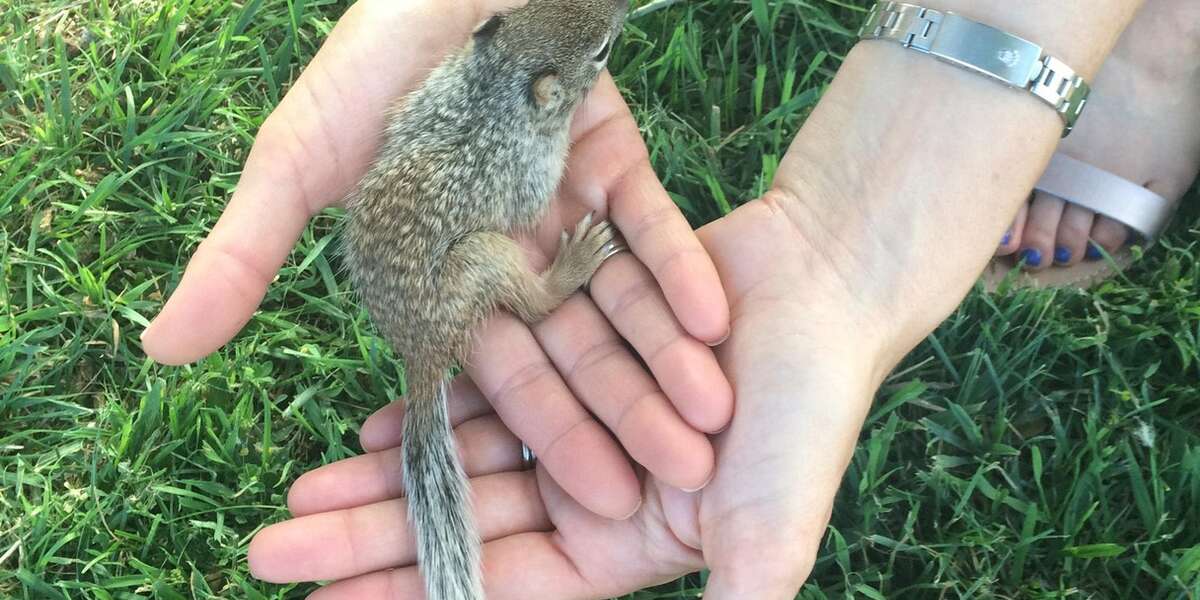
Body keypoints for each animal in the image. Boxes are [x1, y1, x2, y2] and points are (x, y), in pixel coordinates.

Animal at [342, 0, 629, 598]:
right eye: (600, 52)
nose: (625, 10)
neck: (490, 97)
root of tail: (421, 348)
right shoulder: (529, 171)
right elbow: (533, 204)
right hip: (482, 256)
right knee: (533, 306)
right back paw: (573, 267)